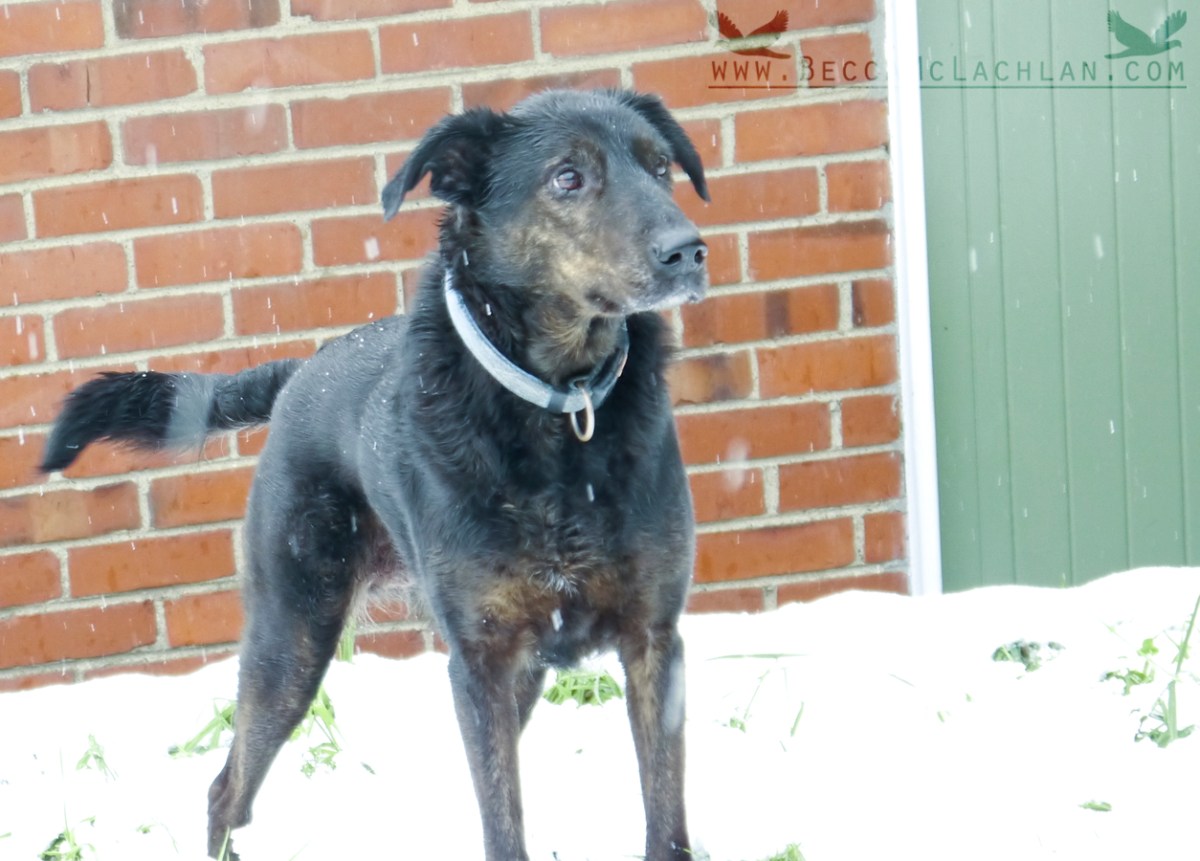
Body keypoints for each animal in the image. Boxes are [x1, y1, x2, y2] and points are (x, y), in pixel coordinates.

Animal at [41, 88, 711, 861]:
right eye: (567, 177)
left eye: (661, 167)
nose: (690, 250)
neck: (561, 403)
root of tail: (299, 371)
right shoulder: (480, 660)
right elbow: (502, 826)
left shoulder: (652, 641)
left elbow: (666, 823)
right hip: (292, 634)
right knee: (224, 788)